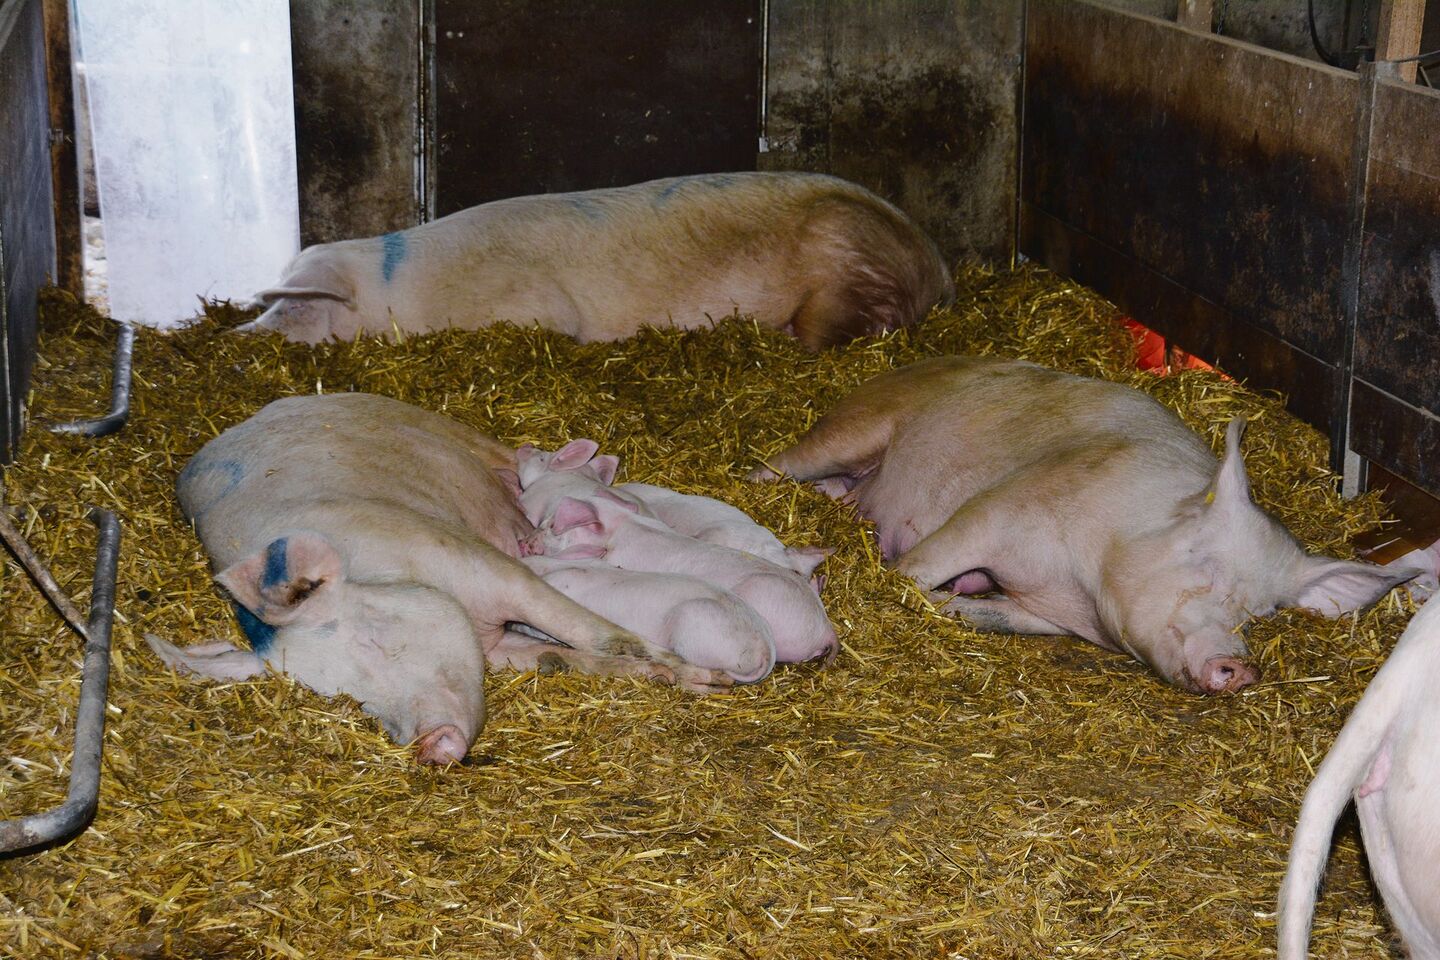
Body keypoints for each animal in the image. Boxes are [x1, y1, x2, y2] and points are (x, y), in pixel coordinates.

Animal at [145, 393, 731, 766]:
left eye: (375, 638)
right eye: (344, 698)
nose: (430, 744)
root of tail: (249, 420)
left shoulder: (482, 565)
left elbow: (589, 630)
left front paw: (706, 680)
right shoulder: (493, 648)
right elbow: (560, 658)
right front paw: (660, 678)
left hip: (447, 430)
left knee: (517, 456)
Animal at [749, 356, 1412, 694]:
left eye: (1261, 613)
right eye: (1201, 560)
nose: (1241, 666)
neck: (1082, 592)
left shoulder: (1045, 615)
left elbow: (979, 612)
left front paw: (958, 605)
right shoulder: (1000, 509)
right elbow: (919, 570)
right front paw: (894, 581)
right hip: (853, 428)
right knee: (776, 465)